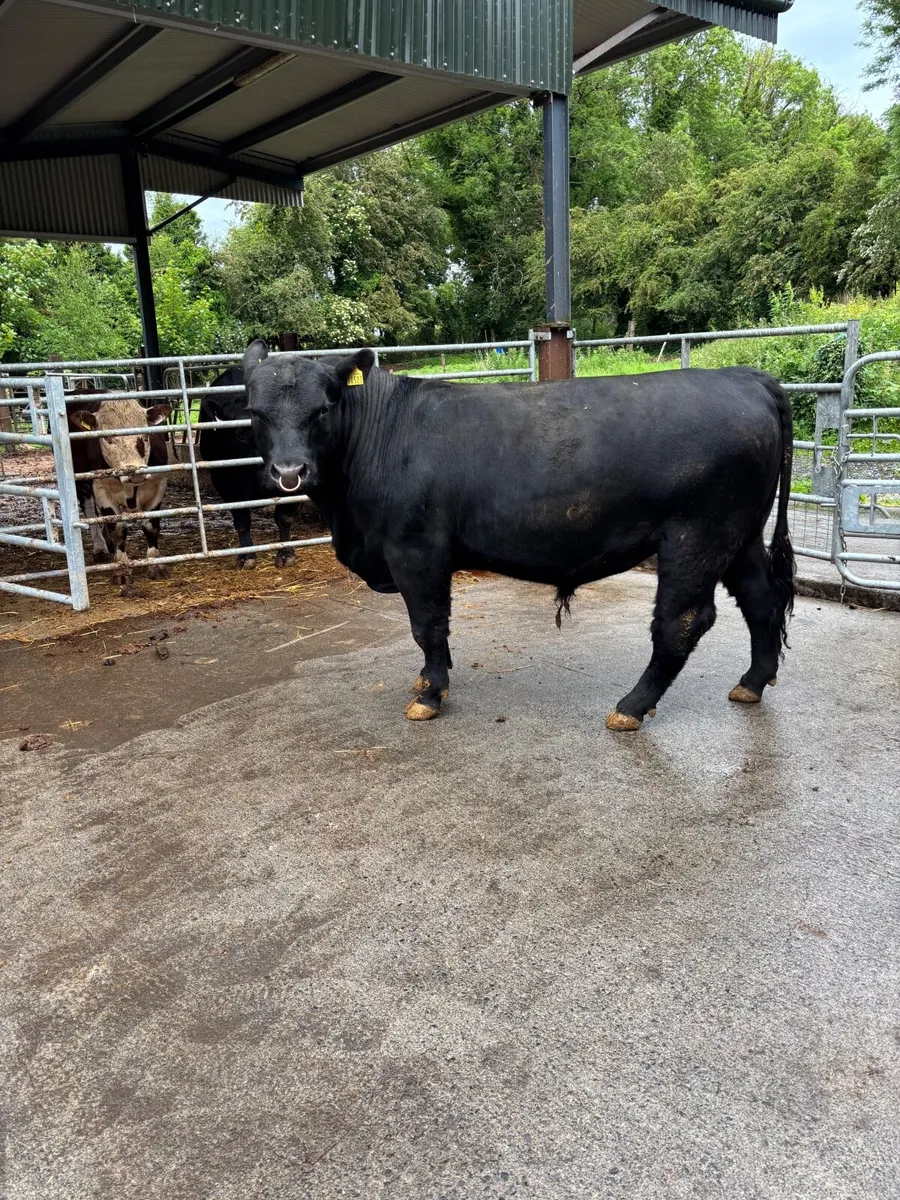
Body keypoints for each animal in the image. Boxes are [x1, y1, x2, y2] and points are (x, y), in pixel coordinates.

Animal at [67, 398, 171, 582]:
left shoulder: (158, 485)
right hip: (81, 483)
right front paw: (122, 567)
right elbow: (117, 530)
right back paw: (100, 547)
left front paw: (156, 564)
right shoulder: (101, 490)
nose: (134, 472)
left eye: (145, 435)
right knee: (90, 512)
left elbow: (151, 526)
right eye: (108, 438)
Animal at [198, 366, 301, 569]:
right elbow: (242, 520)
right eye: (240, 436)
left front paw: (286, 552)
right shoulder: (225, 482)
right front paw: (246, 555)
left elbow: (284, 518)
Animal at [239, 339, 795, 732]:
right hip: (740, 535)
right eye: (256, 413)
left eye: (322, 409)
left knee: (681, 622)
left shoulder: (415, 550)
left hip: (696, 537)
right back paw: (752, 682)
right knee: (761, 599)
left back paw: (632, 706)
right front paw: (429, 680)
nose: (290, 472)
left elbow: (428, 626)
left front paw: (429, 694)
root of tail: (744, 377)